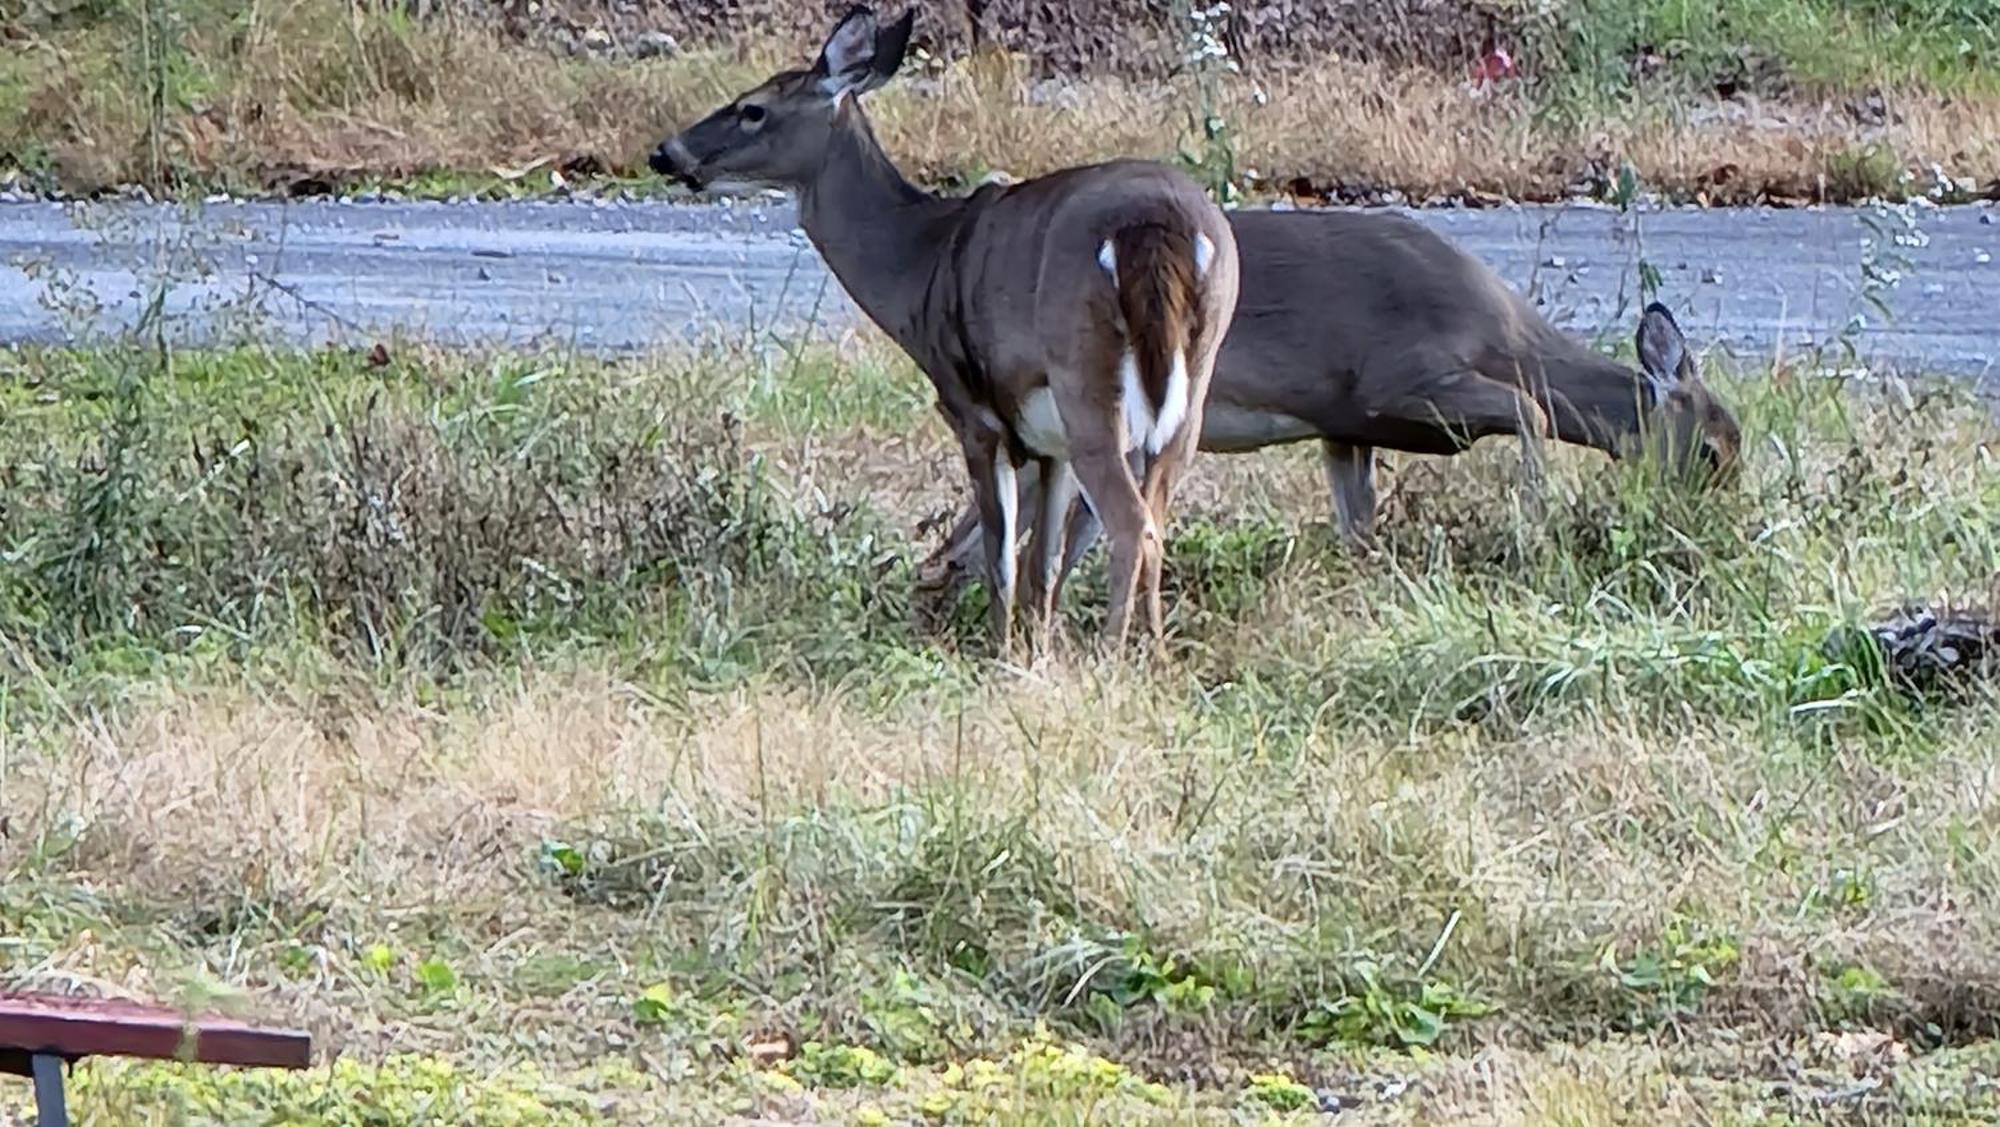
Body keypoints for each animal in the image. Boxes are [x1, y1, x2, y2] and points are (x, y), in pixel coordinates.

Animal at [648, 4, 1232, 651]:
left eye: (753, 109)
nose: (665, 153)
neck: (921, 262)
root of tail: (1158, 229)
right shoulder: (1045, 438)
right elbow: (1043, 564)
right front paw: (1036, 652)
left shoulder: (972, 412)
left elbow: (1003, 560)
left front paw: (1004, 654)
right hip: (1190, 385)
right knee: (1156, 517)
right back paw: (1153, 651)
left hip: (1087, 381)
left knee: (1133, 524)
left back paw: (1113, 655)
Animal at [916, 206, 1744, 603]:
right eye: (1711, 450)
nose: (1716, 528)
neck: (1506, 335)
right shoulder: (1399, 376)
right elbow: (1533, 414)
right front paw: (1532, 529)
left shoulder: (1345, 426)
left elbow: (1358, 526)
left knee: (967, 543)